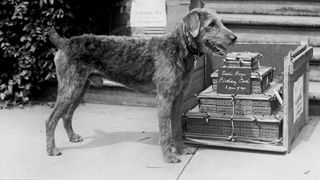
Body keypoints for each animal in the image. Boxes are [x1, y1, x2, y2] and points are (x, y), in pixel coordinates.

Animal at [47, 8, 238, 163]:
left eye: (221, 21)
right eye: (211, 24)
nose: (235, 38)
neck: (179, 47)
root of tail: (64, 42)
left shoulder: (178, 97)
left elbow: (176, 128)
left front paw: (182, 150)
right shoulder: (164, 98)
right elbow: (165, 132)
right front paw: (169, 157)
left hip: (80, 88)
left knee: (66, 116)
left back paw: (72, 137)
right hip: (70, 88)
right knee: (51, 120)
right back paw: (51, 150)